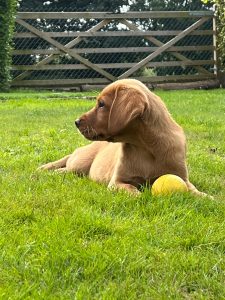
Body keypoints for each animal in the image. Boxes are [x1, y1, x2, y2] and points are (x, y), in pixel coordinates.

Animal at [37, 79, 207, 197]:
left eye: (101, 104)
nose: (76, 122)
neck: (145, 147)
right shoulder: (117, 182)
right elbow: (133, 191)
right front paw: (143, 197)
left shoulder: (183, 178)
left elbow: (194, 190)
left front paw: (206, 197)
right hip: (80, 163)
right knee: (67, 164)